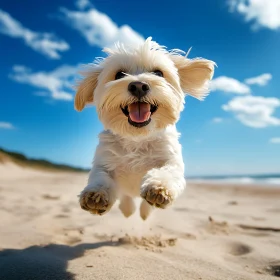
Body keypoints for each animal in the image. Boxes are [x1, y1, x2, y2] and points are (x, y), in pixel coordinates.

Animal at [74, 37, 214, 221]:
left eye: (159, 73)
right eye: (119, 74)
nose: (139, 85)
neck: (138, 138)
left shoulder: (171, 160)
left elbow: (168, 172)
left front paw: (159, 188)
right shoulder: (104, 161)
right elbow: (101, 177)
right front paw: (96, 194)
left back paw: (144, 212)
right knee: (126, 197)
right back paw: (128, 209)